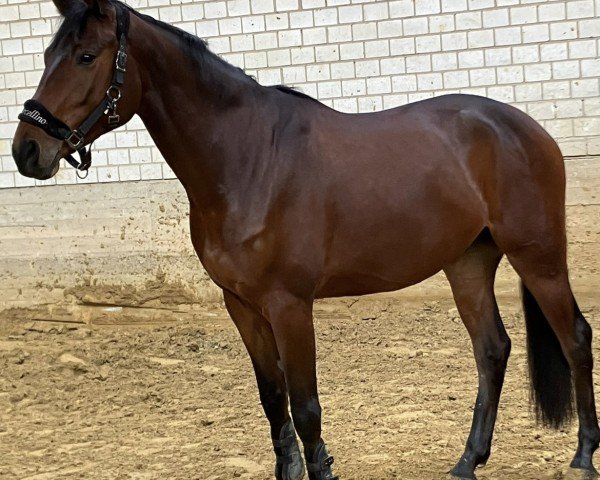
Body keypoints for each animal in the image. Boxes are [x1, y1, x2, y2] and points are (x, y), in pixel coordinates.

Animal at [10, 0, 600, 480]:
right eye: (47, 53)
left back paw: (582, 456)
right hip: (467, 262)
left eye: (86, 56)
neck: (248, 158)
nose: (27, 150)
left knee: (574, 337)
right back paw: (467, 461)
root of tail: (525, 128)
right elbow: (273, 400)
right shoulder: (241, 304)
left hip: (539, 257)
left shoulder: (289, 304)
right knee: (491, 349)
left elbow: (306, 405)